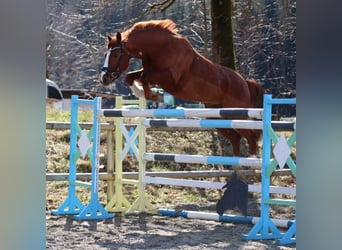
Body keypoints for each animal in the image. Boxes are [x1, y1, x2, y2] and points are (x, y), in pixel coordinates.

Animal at [99, 19, 264, 156]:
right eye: (106, 54)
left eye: (115, 55)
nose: (104, 78)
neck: (161, 48)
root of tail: (245, 83)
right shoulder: (150, 70)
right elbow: (131, 76)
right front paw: (141, 92)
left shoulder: (170, 79)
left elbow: (145, 77)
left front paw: (154, 96)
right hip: (217, 116)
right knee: (236, 137)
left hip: (238, 114)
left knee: (251, 137)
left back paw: (252, 162)